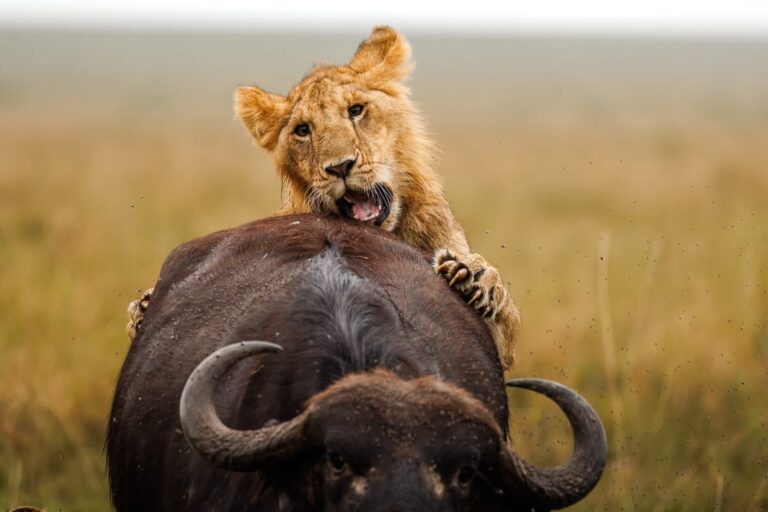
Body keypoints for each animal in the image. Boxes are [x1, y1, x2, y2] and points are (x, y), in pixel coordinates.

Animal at [128, 27, 520, 373]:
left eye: (356, 110)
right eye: (303, 130)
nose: (340, 166)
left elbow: (506, 317)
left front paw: (473, 275)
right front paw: (141, 308)